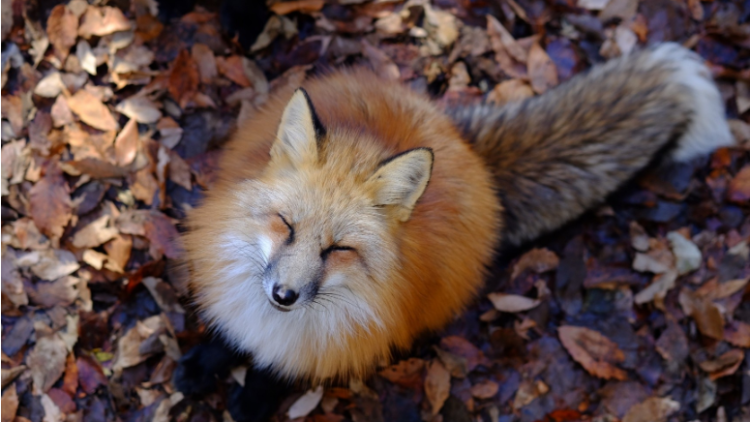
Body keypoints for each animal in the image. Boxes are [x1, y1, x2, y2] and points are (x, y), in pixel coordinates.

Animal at [175, 43, 733, 419]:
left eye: (338, 249)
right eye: (285, 224)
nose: (284, 295)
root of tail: (463, 141)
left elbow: (274, 371)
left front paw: (251, 399)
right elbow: (228, 333)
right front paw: (203, 365)